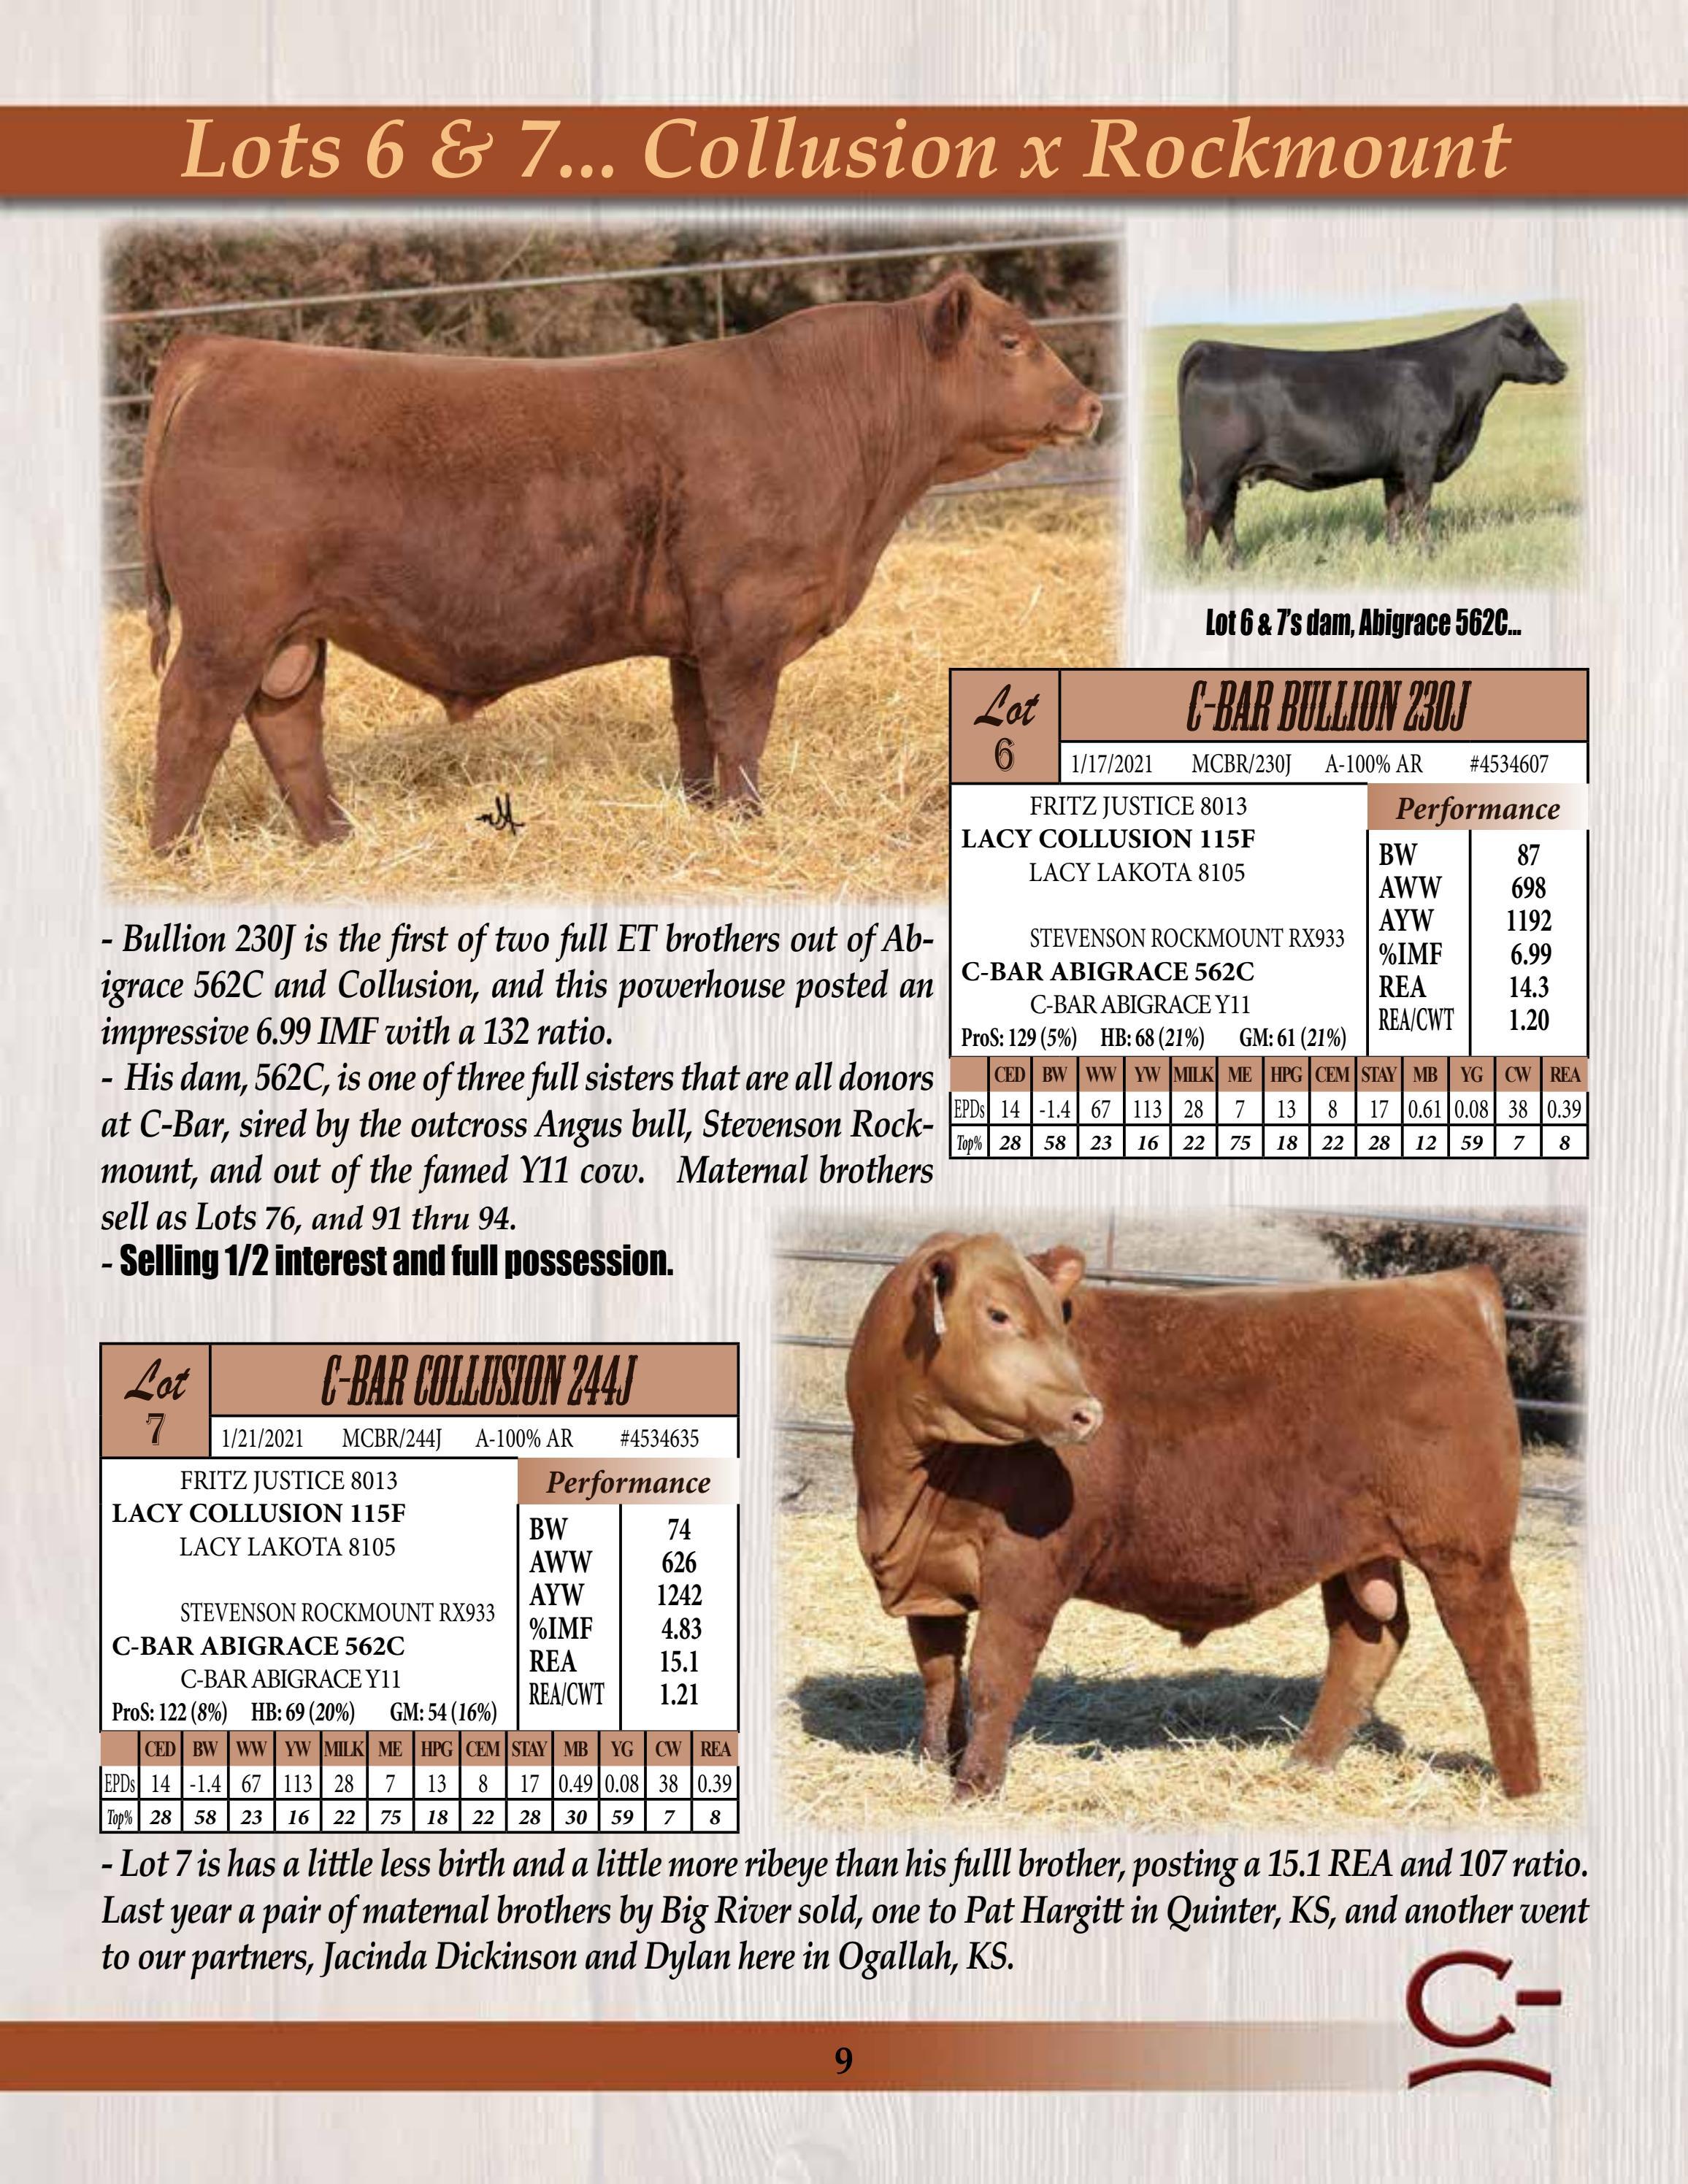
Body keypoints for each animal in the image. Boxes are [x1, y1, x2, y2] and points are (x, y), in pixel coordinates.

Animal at [136, 273, 1101, 849]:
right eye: (1010, 341)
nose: (1090, 403)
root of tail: (219, 349)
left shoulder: (695, 636)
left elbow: (695, 727)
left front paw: (706, 810)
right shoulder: (746, 622)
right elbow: (741, 728)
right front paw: (747, 821)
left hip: (290, 633)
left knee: (287, 724)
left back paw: (334, 837)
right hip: (229, 624)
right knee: (192, 720)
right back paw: (171, 849)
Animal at [846, 1233, 1540, 1802]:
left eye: (1056, 1317)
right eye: (998, 1313)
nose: (1085, 1413)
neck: (904, 1488)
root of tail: (1447, 1288)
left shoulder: (1026, 1571)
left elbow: (994, 1676)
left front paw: (975, 1787)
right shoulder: (932, 1580)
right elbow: (939, 1675)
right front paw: (936, 1760)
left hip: (1466, 1550)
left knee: (1498, 1647)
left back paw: (1522, 1788)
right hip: (1359, 1550)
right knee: (1367, 1641)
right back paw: (1306, 1764)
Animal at [1177, 305, 1567, 565]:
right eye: (1529, 337)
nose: (1562, 367)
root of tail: (1212, 347)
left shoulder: (1394, 468)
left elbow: (1394, 511)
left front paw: (1395, 553)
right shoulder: (1421, 457)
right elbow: (1421, 508)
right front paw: (1427, 554)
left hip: (1228, 473)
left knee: (1223, 515)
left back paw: (1236, 564)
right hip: (1216, 468)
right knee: (1202, 511)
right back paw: (1196, 569)